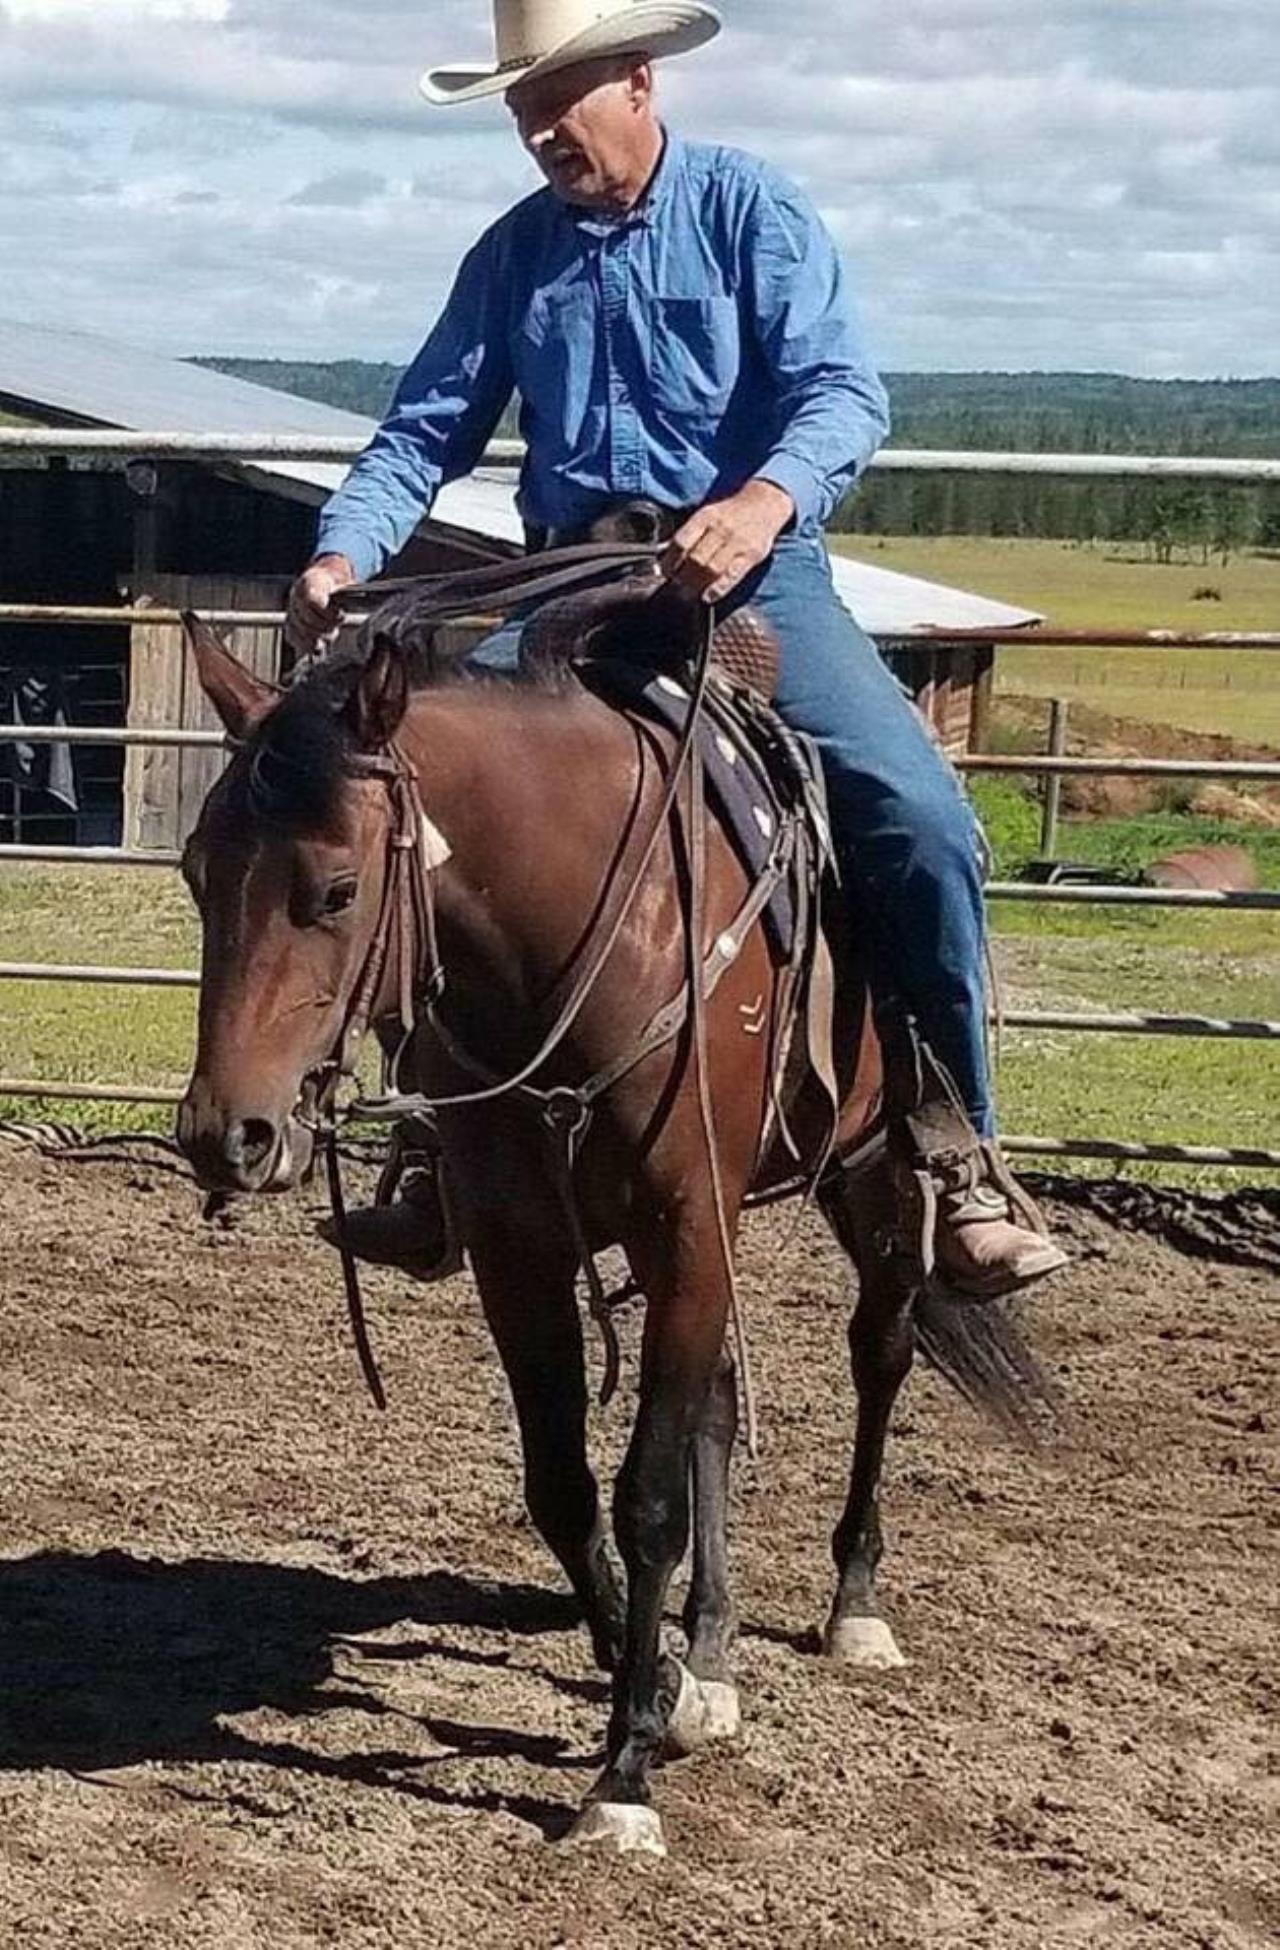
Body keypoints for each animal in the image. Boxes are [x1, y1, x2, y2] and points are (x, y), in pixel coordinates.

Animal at [175, 582, 1047, 1858]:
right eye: (197, 871)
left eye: (336, 889)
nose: (221, 1135)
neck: (593, 927)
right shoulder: (520, 1244)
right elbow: (565, 1483)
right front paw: (664, 1684)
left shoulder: (685, 1224)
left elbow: (645, 1500)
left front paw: (624, 1772)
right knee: (716, 1412)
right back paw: (714, 1649)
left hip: (873, 1173)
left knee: (878, 1355)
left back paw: (853, 1604)